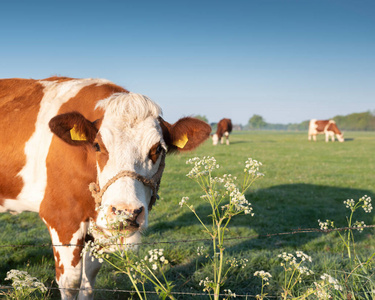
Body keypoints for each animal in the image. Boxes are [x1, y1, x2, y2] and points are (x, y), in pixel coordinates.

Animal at [0, 78, 212, 300]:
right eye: (97, 146)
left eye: (157, 149)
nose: (126, 212)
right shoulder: (61, 217)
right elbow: (70, 282)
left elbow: (89, 277)